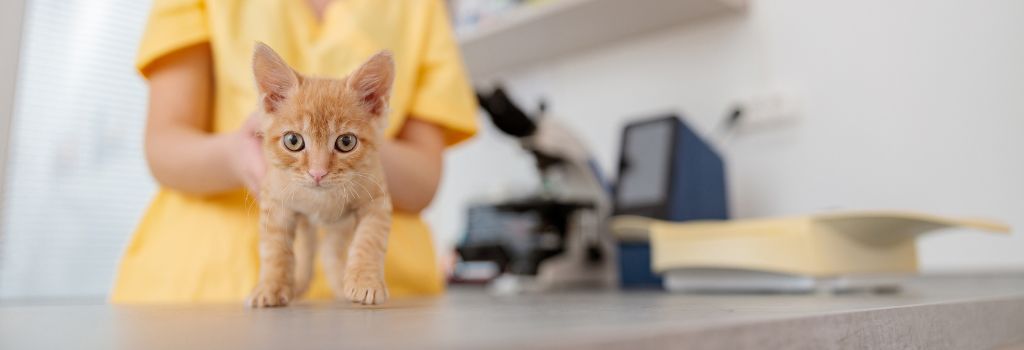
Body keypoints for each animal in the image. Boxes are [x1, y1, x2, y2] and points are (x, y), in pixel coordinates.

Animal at [246, 42, 391, 307]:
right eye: (293, 141)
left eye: (346, 142)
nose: (318, 173)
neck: (321, 200)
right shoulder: (275, 201)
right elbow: (275, 248)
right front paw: (270, 286)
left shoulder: (377, 198)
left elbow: (369, 240)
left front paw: (365, 282)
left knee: (330, 248)